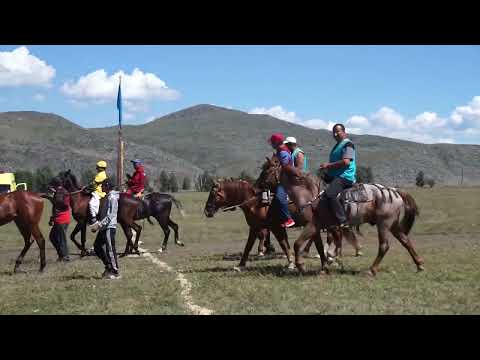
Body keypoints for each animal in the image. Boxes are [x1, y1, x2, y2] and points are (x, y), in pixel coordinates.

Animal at [47, 171, 185, 258]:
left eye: (60, 177)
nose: (49, 186)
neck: (79, 199)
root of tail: (168, 196)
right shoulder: (84, 223)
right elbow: (79, 237)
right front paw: (85, 251)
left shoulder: (81, 222)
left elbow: (75, 237)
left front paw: (83, 252)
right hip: (162, 218)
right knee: (174, 226)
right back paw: (177, 242)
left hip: (159, 218)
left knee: (163, 230)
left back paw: (159, 248)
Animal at [258, 155, 424, 276]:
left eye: (266, 170)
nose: (257, 185)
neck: (309, 195)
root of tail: (394, 191)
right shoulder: (319, 227)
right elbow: (319, 247)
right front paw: (324, 267)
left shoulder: (313, 225)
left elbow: (298, 244)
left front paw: (302, 266)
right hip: (393, 225)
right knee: (405, 241)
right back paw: (420, 265)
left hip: (383, 224)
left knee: (384, 245)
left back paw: (371, 270)